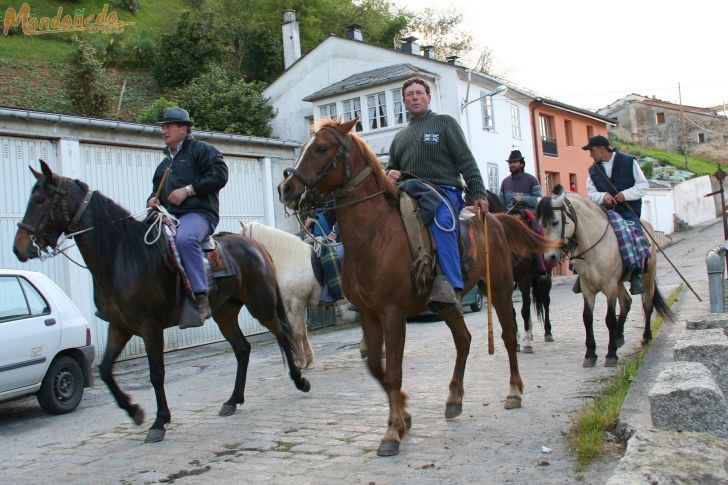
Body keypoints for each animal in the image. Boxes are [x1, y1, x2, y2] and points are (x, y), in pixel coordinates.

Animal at [13, 160, 310, 442]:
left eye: (41, 200)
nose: (19, 247)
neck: (121, 254)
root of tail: (256, 246)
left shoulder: (150, 326)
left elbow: (156, 373)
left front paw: (159, 422)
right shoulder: (119, 326)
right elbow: (106, 370)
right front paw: (134, 411)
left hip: (261, 305)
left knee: (282, 335)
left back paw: (299, 380)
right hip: (225, 313)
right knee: (242, 349)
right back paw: (232, 400)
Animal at [278, 116, 556, 454]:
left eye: (321, 148)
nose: (286, 188)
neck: (375, 234)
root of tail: (496, 218)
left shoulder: (393, 314)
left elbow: (393, 372)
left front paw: (391, 432)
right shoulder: (369, 315)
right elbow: (377, 367)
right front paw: (404, 415)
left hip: (501, 288)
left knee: (508, 334)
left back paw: (514, 392)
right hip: (445, 302)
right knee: (463, 340)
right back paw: (454, 398)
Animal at [536, 193, 672, 366]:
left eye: (555, 222)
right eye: (542, 224)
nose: (550, 257)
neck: (593, 249)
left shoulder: (609, 287)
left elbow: (609, 319)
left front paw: (611, 354)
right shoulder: (587, 288)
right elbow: (587, 318)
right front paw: (590, 354)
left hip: (647, 279)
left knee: (647, 305)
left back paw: (646, 337)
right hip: (619, 283)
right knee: (626, 302)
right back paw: (619, 336)